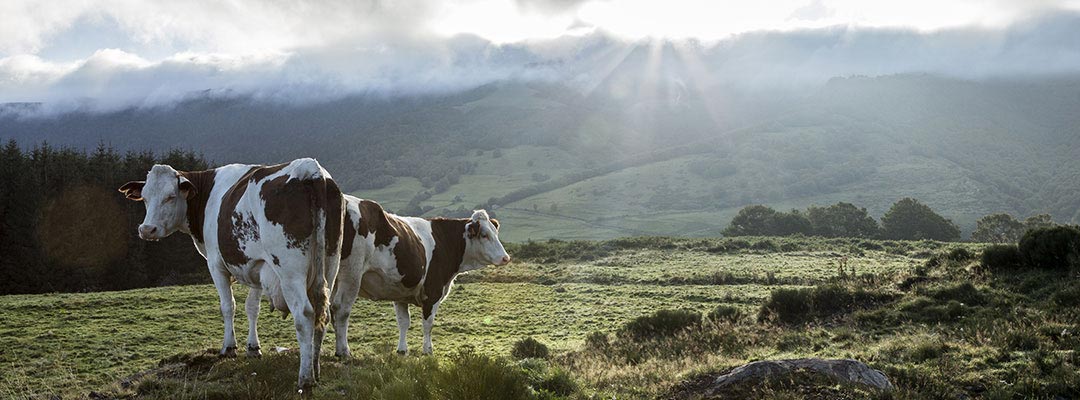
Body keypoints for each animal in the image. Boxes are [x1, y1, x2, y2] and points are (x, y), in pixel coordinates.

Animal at [330, 195, 511, 356]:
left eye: (495, 233)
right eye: (484, 235)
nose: (505, 258)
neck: (444, 240)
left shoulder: (400, 293)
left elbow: (403, 322)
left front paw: (402, 350)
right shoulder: (433, 291)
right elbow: (428, 323)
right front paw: (427, 350)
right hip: (351, 274)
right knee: (341, 309)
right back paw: (344, 351)